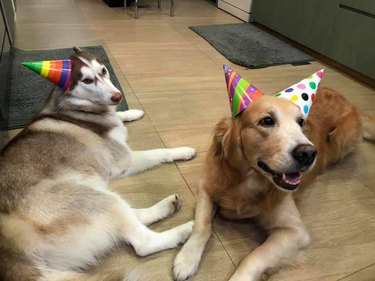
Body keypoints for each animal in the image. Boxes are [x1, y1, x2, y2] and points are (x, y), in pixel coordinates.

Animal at [0, 47, 198, 278]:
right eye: (87, 80)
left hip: (94, 196)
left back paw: (167, 207)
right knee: (143, 243)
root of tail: (10, 252)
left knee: (132, 215)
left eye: (103, 70)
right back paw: (186, 230)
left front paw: (130, 112)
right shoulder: (124, 160)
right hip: (90, 199)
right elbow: (160, 151)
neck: (78, 107)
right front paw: (182, 151)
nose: (117, 96)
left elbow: (119, 115)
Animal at [174, 86, 375, 278]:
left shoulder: (295, 231)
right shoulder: (207, 187)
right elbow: (202, 225)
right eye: (267, 121)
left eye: (301, 122)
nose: (308, 153)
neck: (246, 182)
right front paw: (186, 259)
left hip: (341, 138)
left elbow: (254, 257)